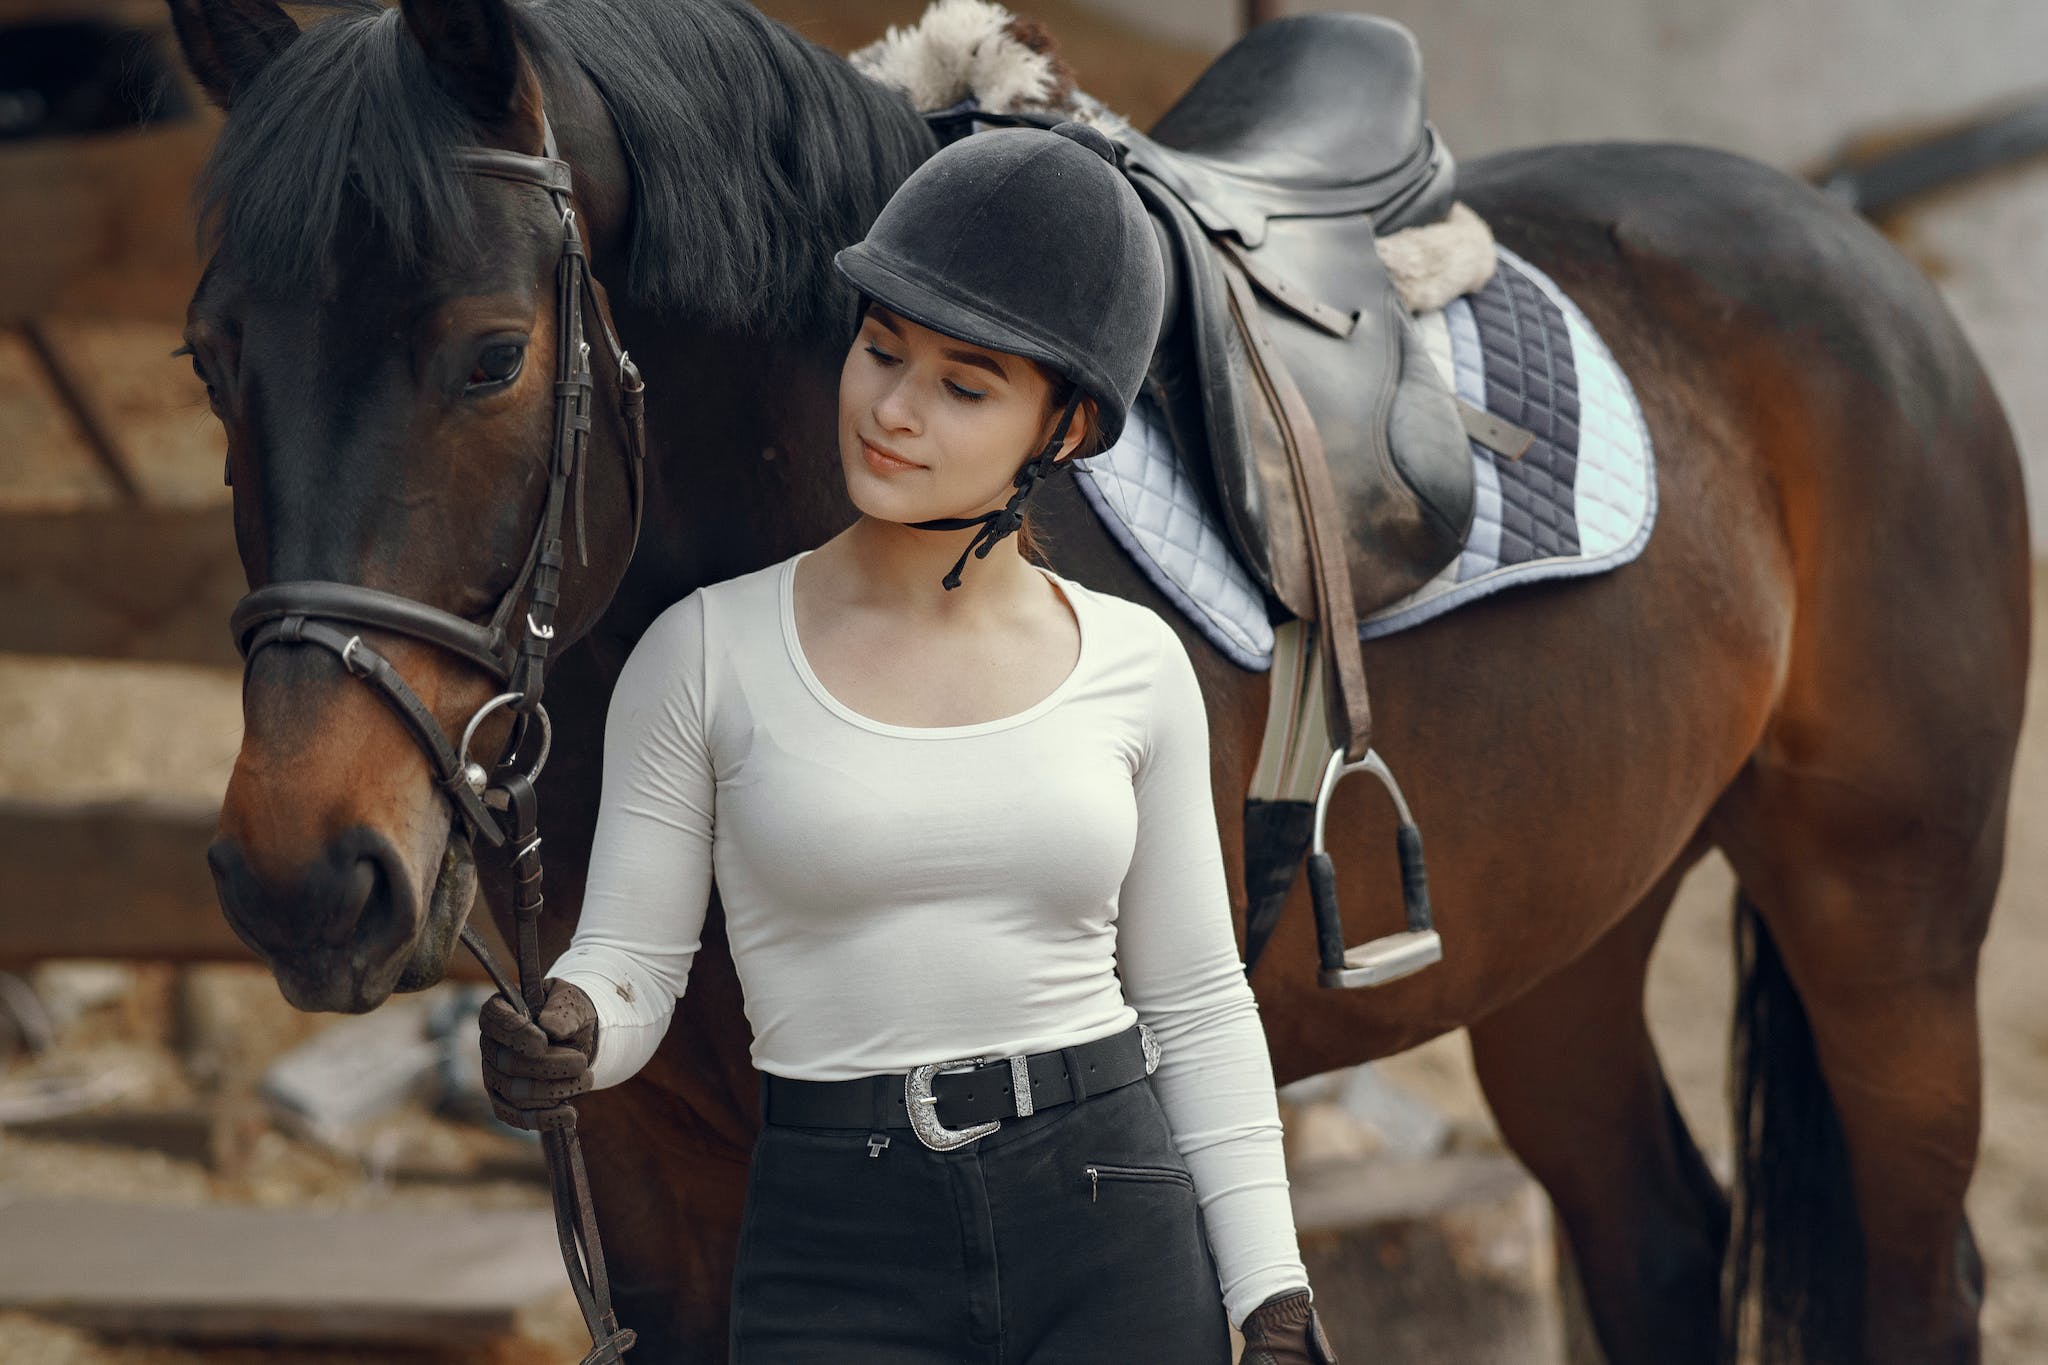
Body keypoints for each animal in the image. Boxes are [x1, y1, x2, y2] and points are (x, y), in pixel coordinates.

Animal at [176, 2, 2031, 1365]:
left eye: (492, 354)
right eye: (210, 357)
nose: (300, 873)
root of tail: (1860, 251)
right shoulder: (650, 1178)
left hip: (1884, 921)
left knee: (1917, 1283)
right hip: (1561, 938)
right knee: (1654, 1242)